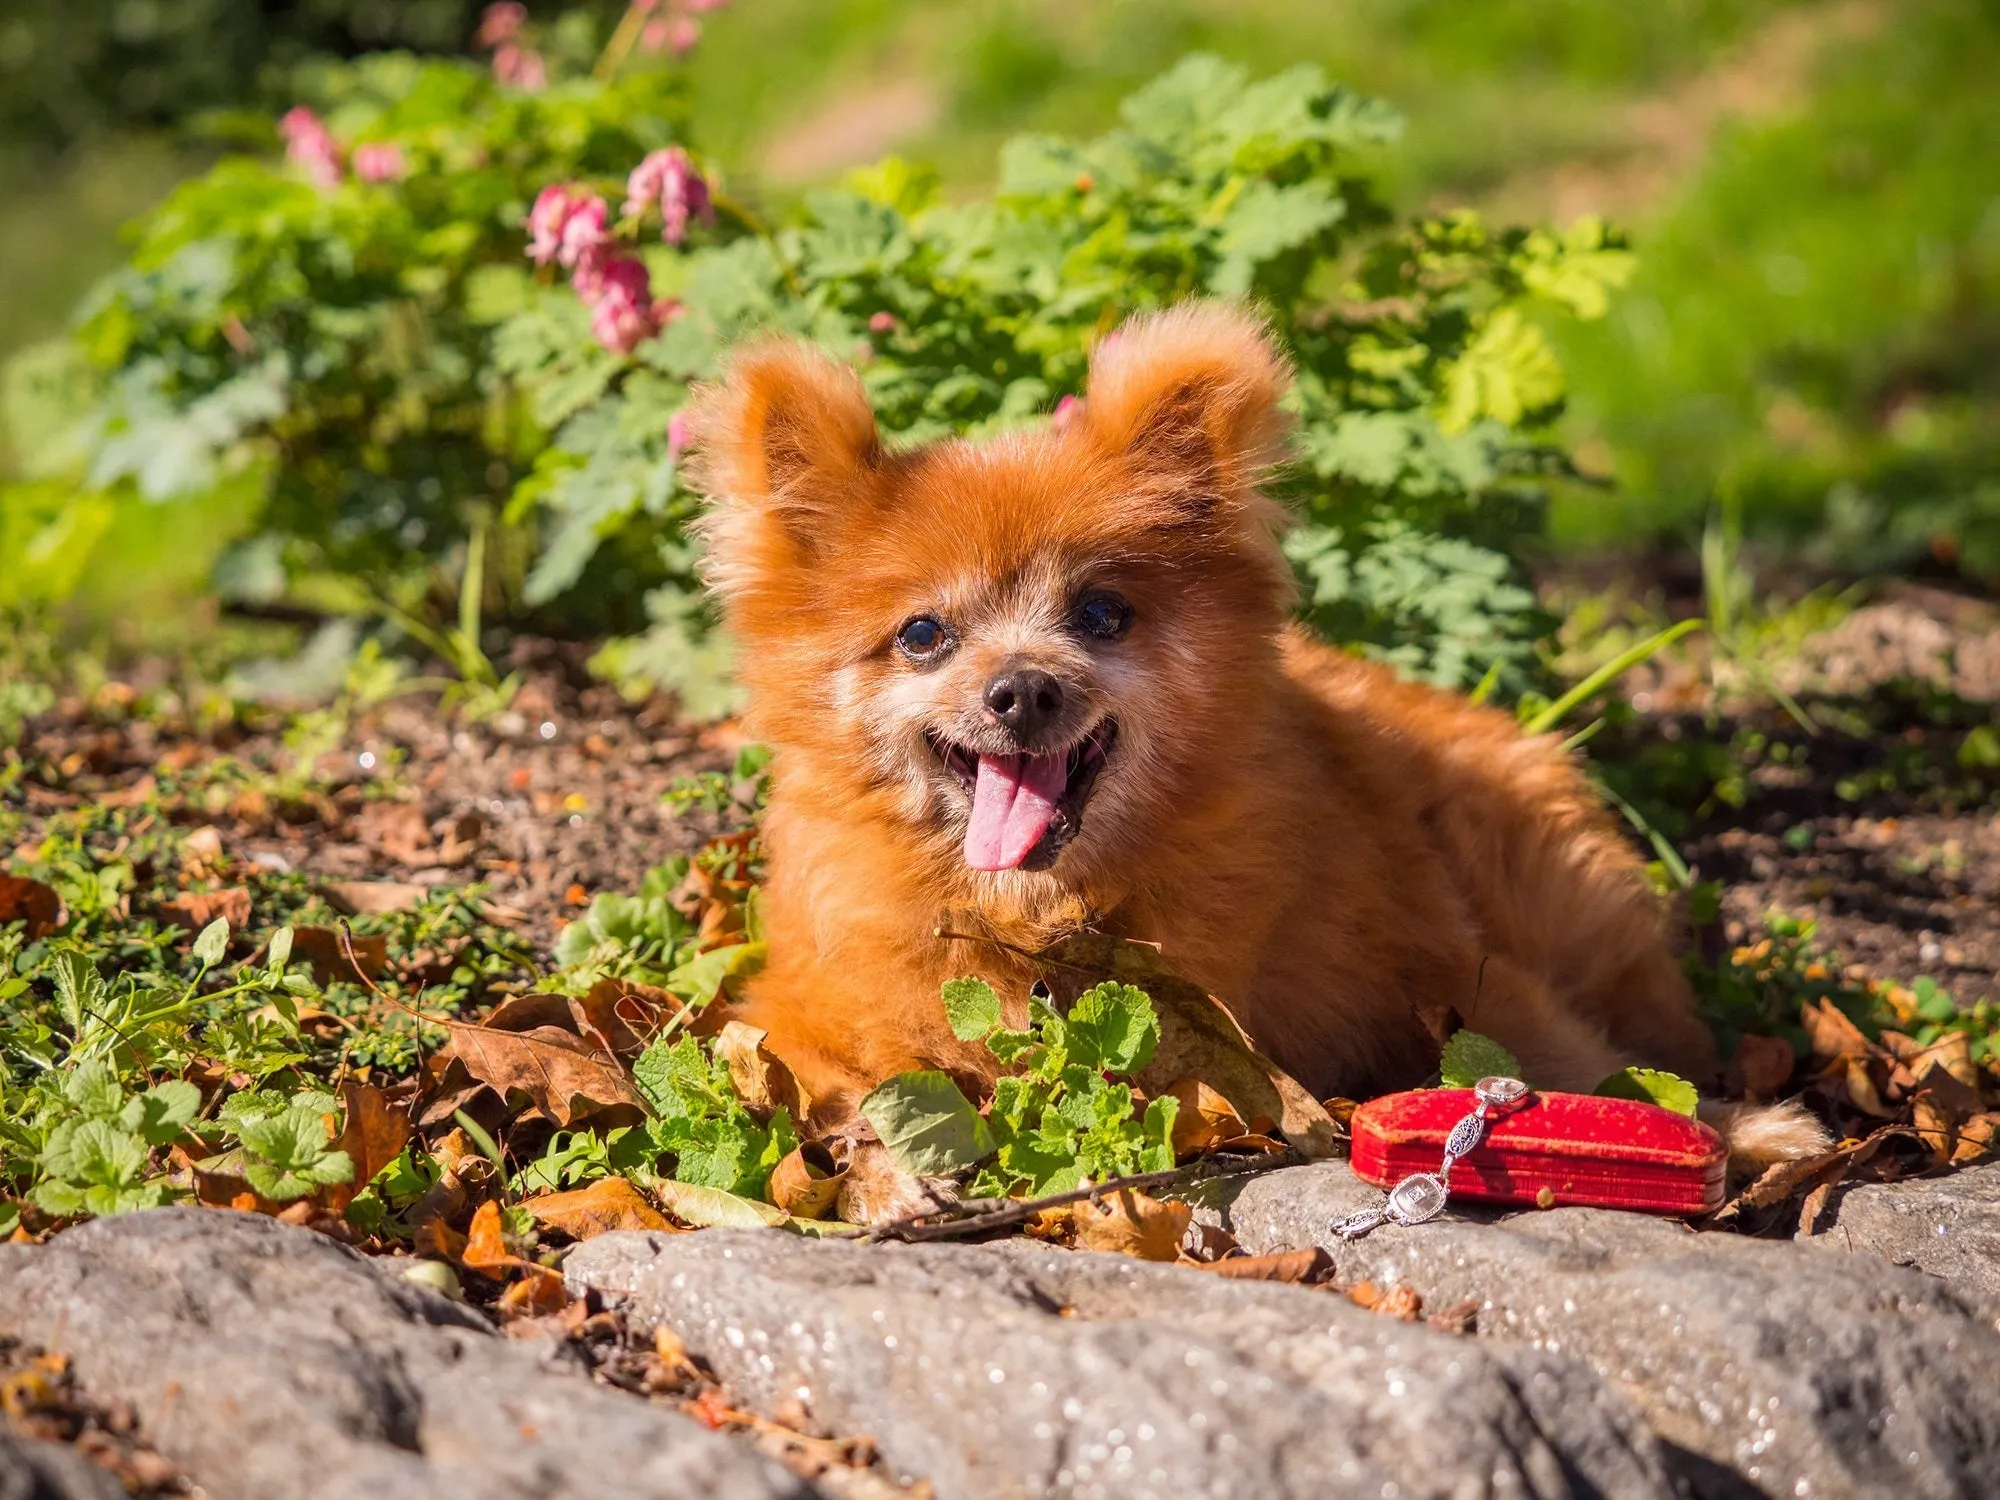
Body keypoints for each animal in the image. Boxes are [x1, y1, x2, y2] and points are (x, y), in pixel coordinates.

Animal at [696, 300, 1824, 1168]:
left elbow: (1565, 1065)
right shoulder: (798, 1015)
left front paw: (1744, 1130)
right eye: (924, 634)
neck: (1044, 918)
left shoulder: (1454, 971)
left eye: (1100, 613)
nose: (1021, 690)